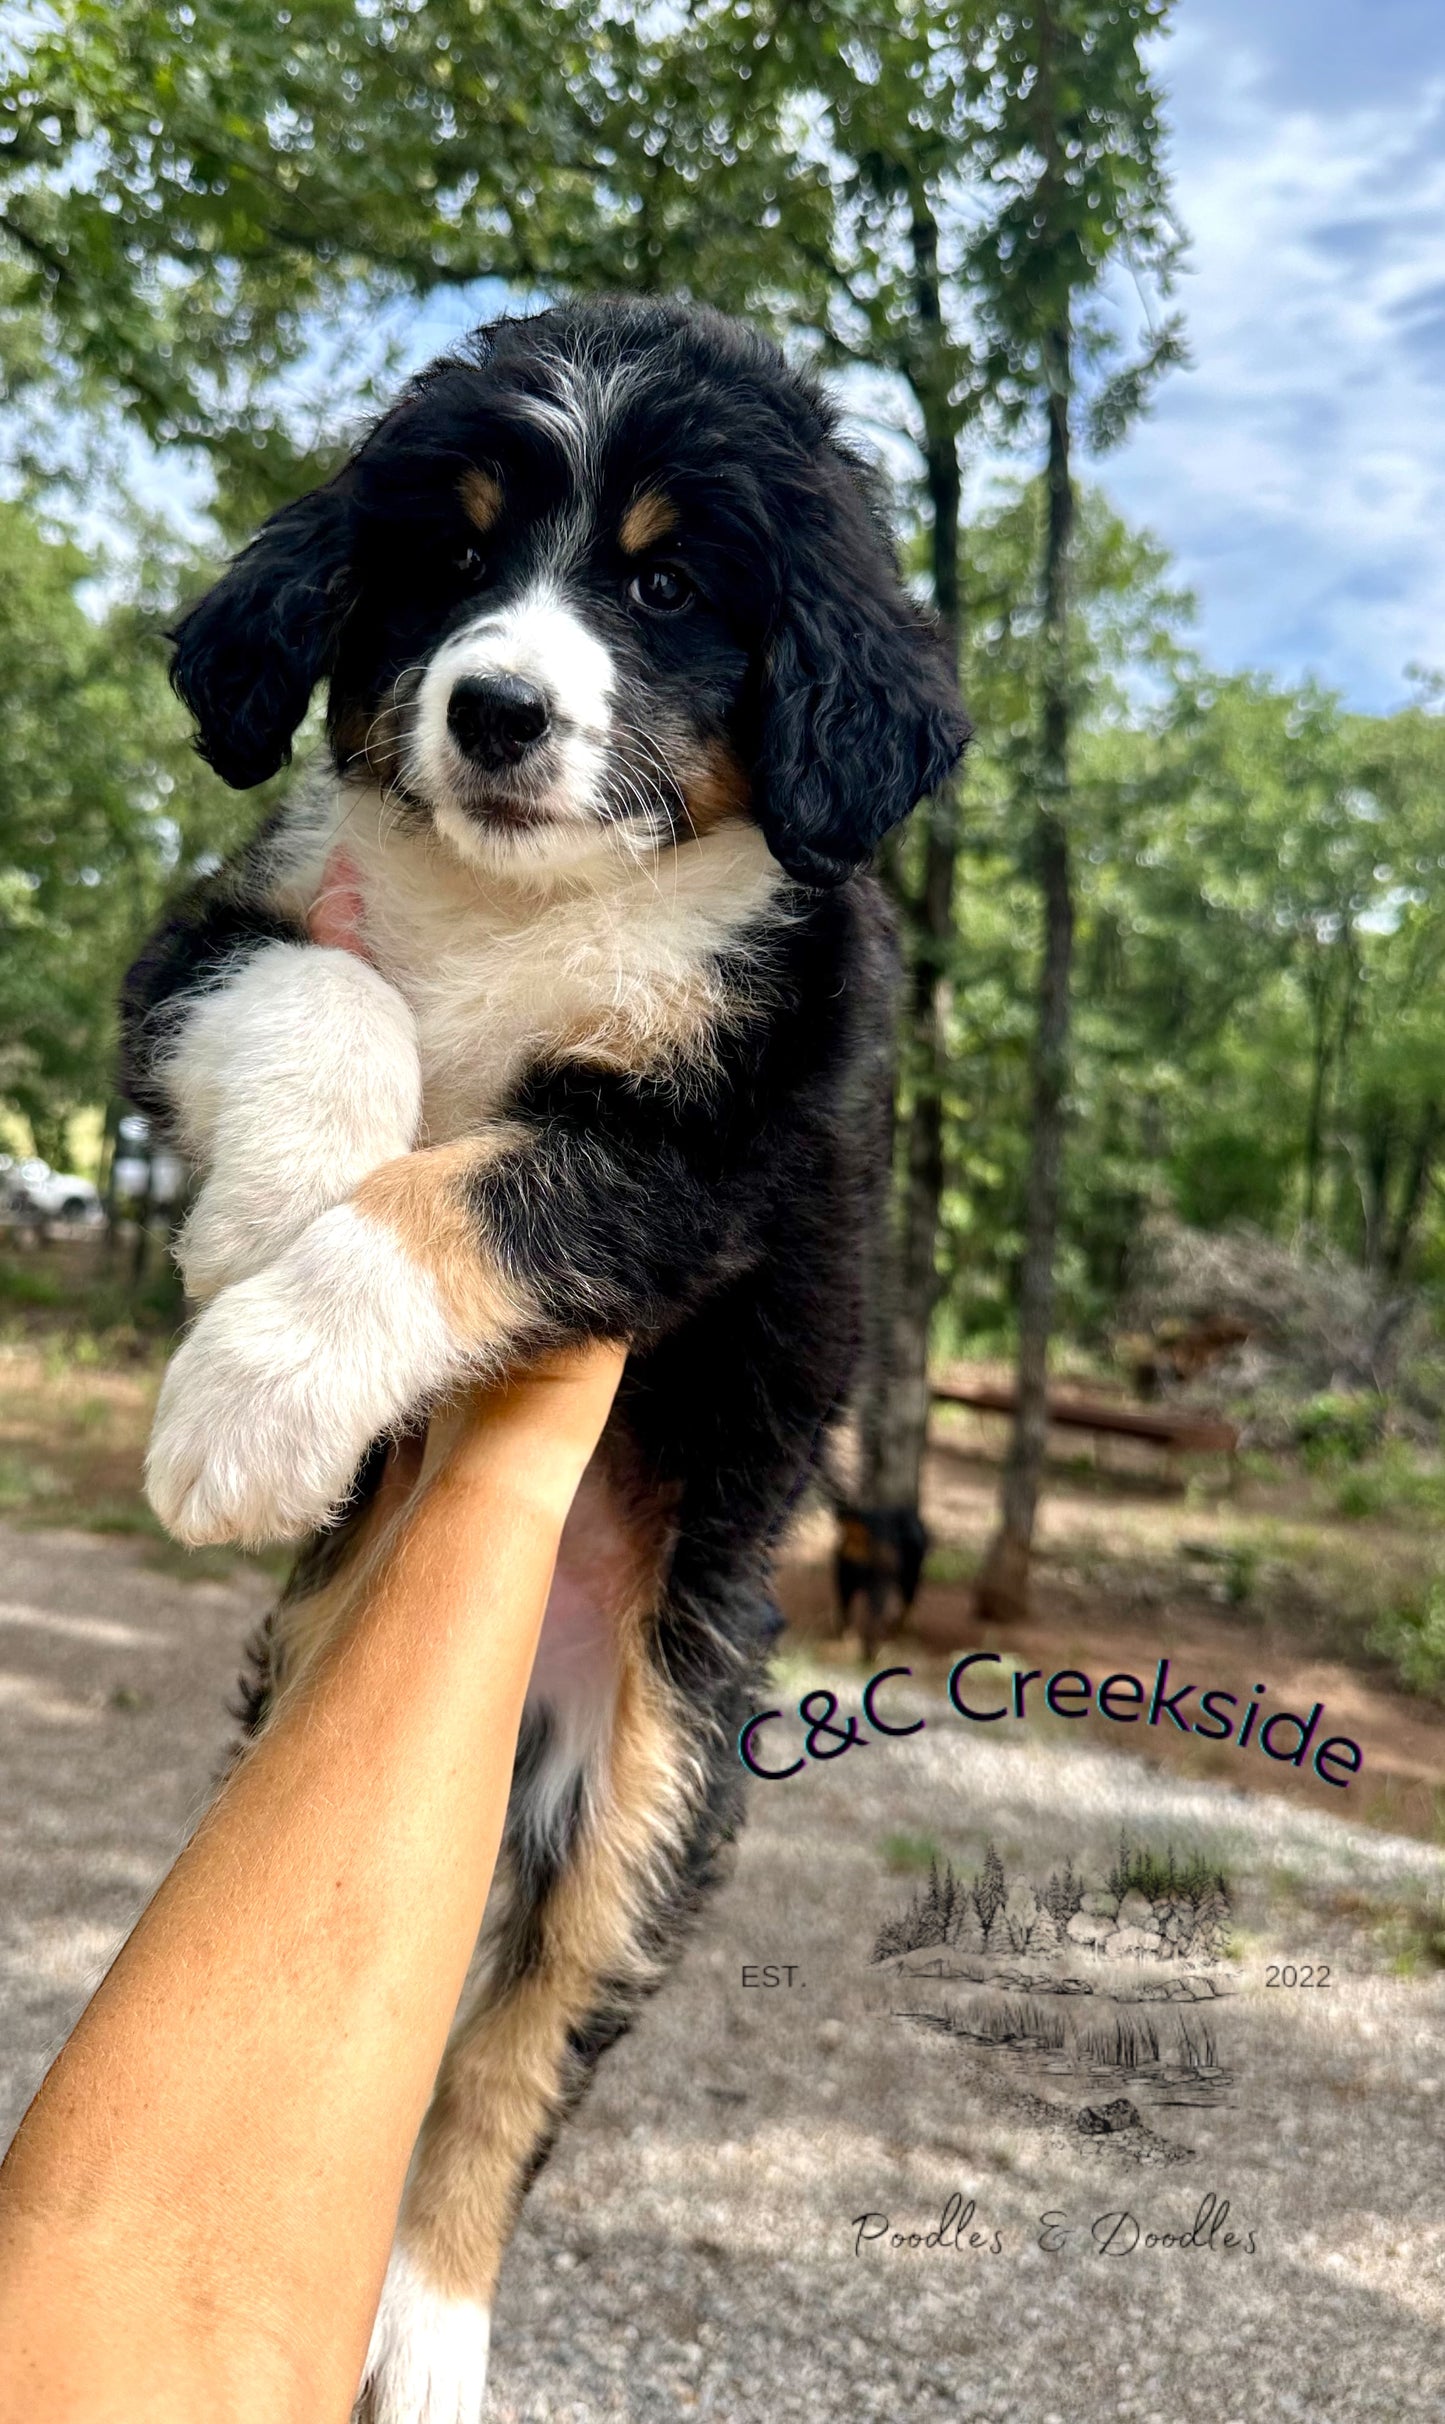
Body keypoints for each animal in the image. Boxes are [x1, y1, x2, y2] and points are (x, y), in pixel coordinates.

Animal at [118, 303, 964, 2424]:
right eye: (449, 554)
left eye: (665, 587)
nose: (497, 710)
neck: (523, 909)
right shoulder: (218, 935)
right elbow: (328, 1003)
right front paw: (256, 1226)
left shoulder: (715, 1144)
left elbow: (467, 1194)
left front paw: (251, 1391)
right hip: (324, 1664)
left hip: (666, 1774)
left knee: (512, 2061)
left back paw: (428, 2324)